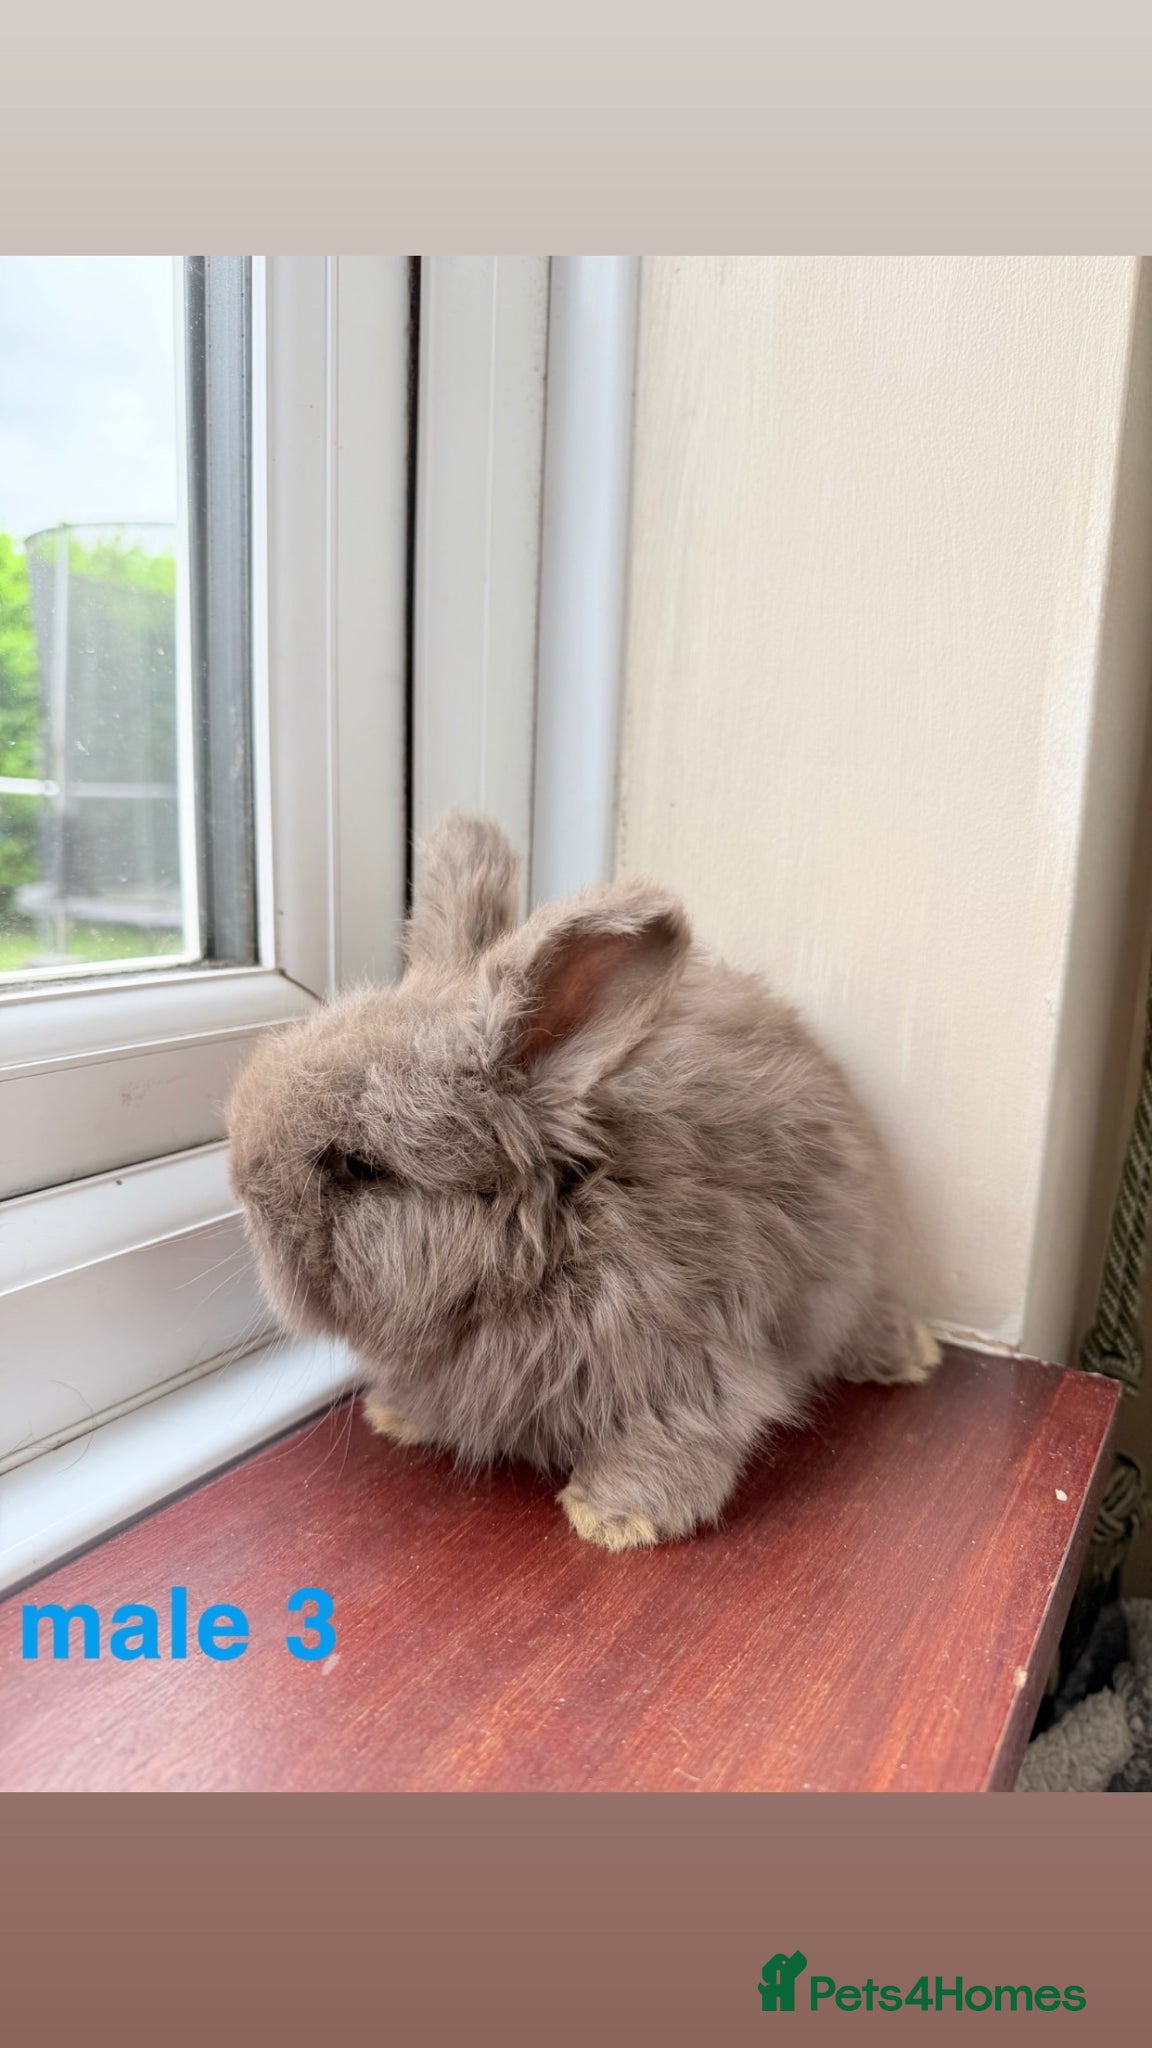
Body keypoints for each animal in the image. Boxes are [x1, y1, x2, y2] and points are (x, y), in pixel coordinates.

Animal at [227, 811, 938, 1551]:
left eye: (359, 1166)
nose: (242, 1191)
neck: (550, 1236)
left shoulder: (690, 1366)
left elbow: (675, 1440)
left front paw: (614, 1519)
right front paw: (397, 1417)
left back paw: (913, 1355)